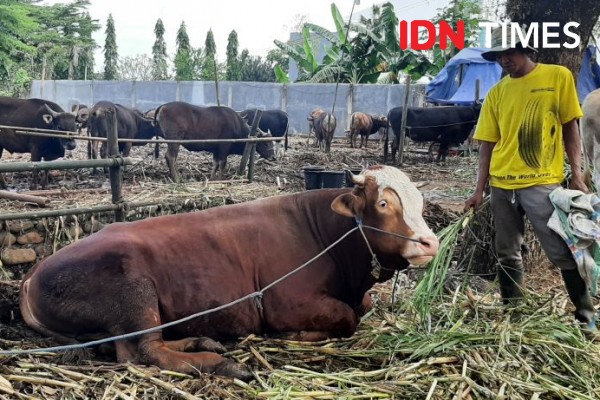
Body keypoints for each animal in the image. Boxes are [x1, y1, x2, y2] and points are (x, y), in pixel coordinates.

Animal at [19, 164, 440, 380]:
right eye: (384, 203)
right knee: (144, 351)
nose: (430, 243)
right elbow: (348, 318)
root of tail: (31, 276)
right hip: (135, 292)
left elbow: (363, 307)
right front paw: (299, 335)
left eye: (420, 201)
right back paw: (219, 362)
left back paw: (203, 342)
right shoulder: (284, 303)